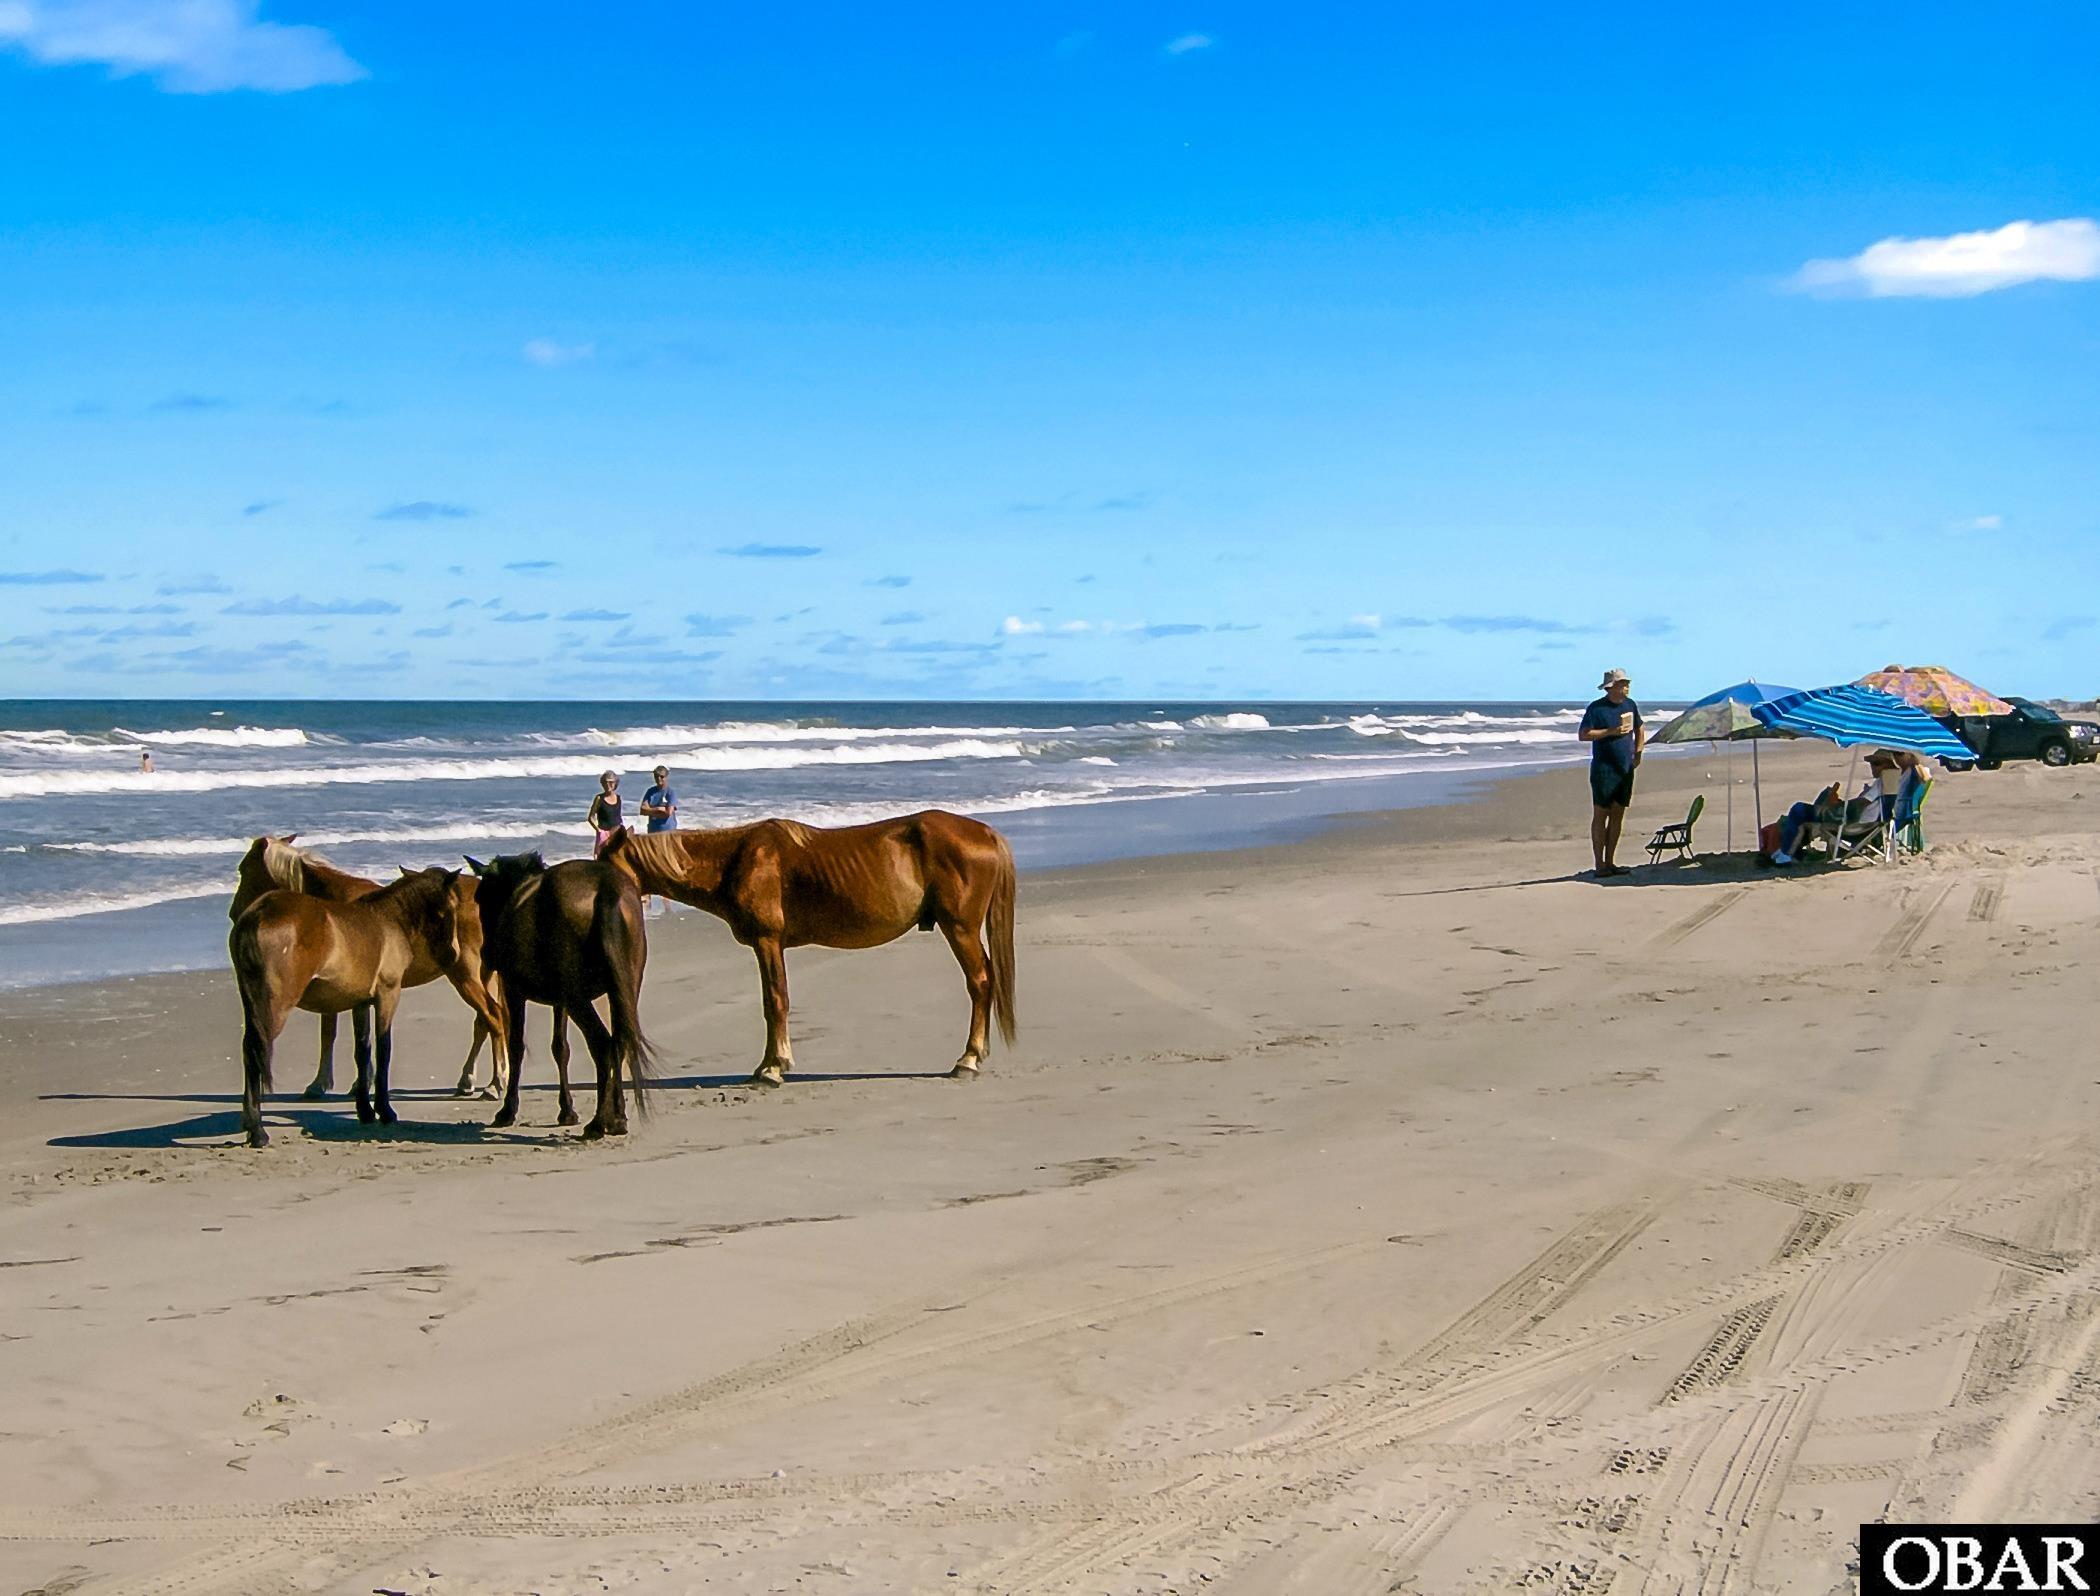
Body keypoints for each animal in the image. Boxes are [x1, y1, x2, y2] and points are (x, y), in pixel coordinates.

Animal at [229, 867, 495, 1148]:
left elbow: (363, 1052)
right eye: (449, 908)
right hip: (274, 1007)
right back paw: (257, 1130)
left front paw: (365, 1111)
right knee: (255, 1052)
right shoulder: (388, 995)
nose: (452, 955)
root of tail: (258, 914)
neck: (388, 920)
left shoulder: (360, 1003)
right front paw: (385, 1111)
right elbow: (383, 1050)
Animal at [465, 851, 654, 1138]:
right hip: (625, 988)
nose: (487, 954)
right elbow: (560, 1048)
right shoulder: (560, 1001)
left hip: (578, 997)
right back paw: (618, 1117)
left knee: (602, 1044)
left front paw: (508, 1110)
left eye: (481, 897)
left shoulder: (514, 989)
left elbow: (516, 1046)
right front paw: (567, 1110)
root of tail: (607, 890)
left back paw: (598, 1123)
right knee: (619, 1041)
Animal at [598, 810, 1015, 1086]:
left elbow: (775, 1000)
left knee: (980, 983)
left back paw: (968, 1059)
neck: (737, 859)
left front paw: (772, 1068)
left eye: (603, 866)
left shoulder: (768, 941)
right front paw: (770, 1063)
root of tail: (986, 833)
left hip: (959, 929)